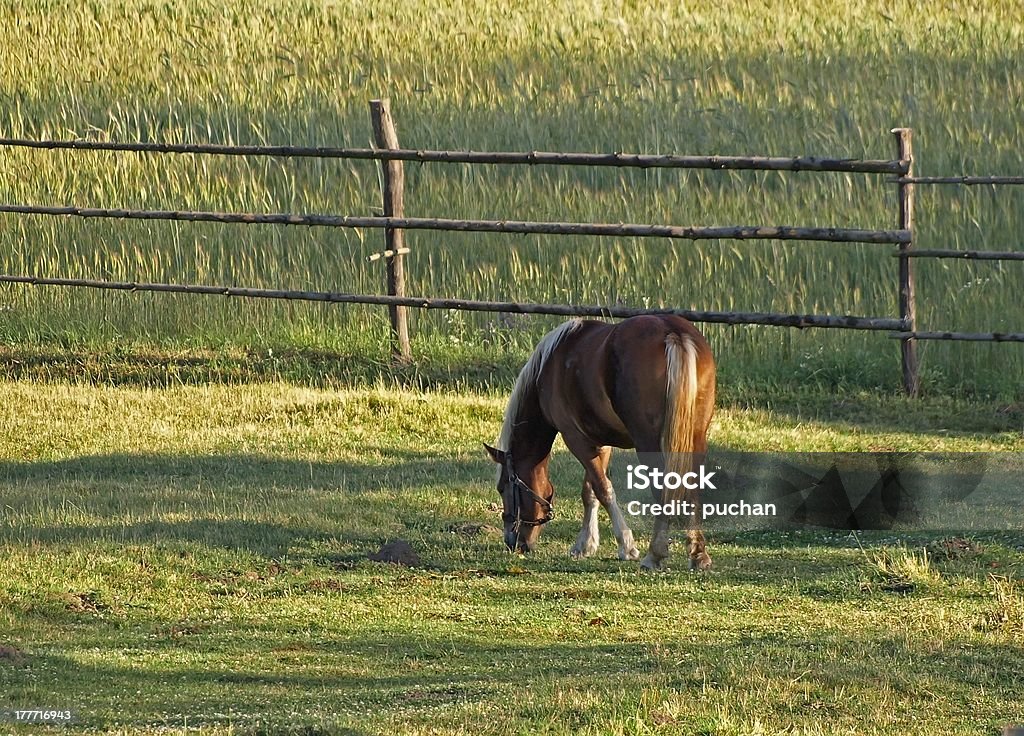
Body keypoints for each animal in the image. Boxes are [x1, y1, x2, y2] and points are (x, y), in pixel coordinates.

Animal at [483, 313, 716, 573]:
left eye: (502, 487)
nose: (513, 542)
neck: (552, 363)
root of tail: (672, 332)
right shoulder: (600, 443)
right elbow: (590, 490)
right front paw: (585, 544)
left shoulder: (575, 438)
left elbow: (603, 489)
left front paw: (626, 545)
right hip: (695, 437)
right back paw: (698, 554)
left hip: (648, 442)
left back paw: (654, 554)